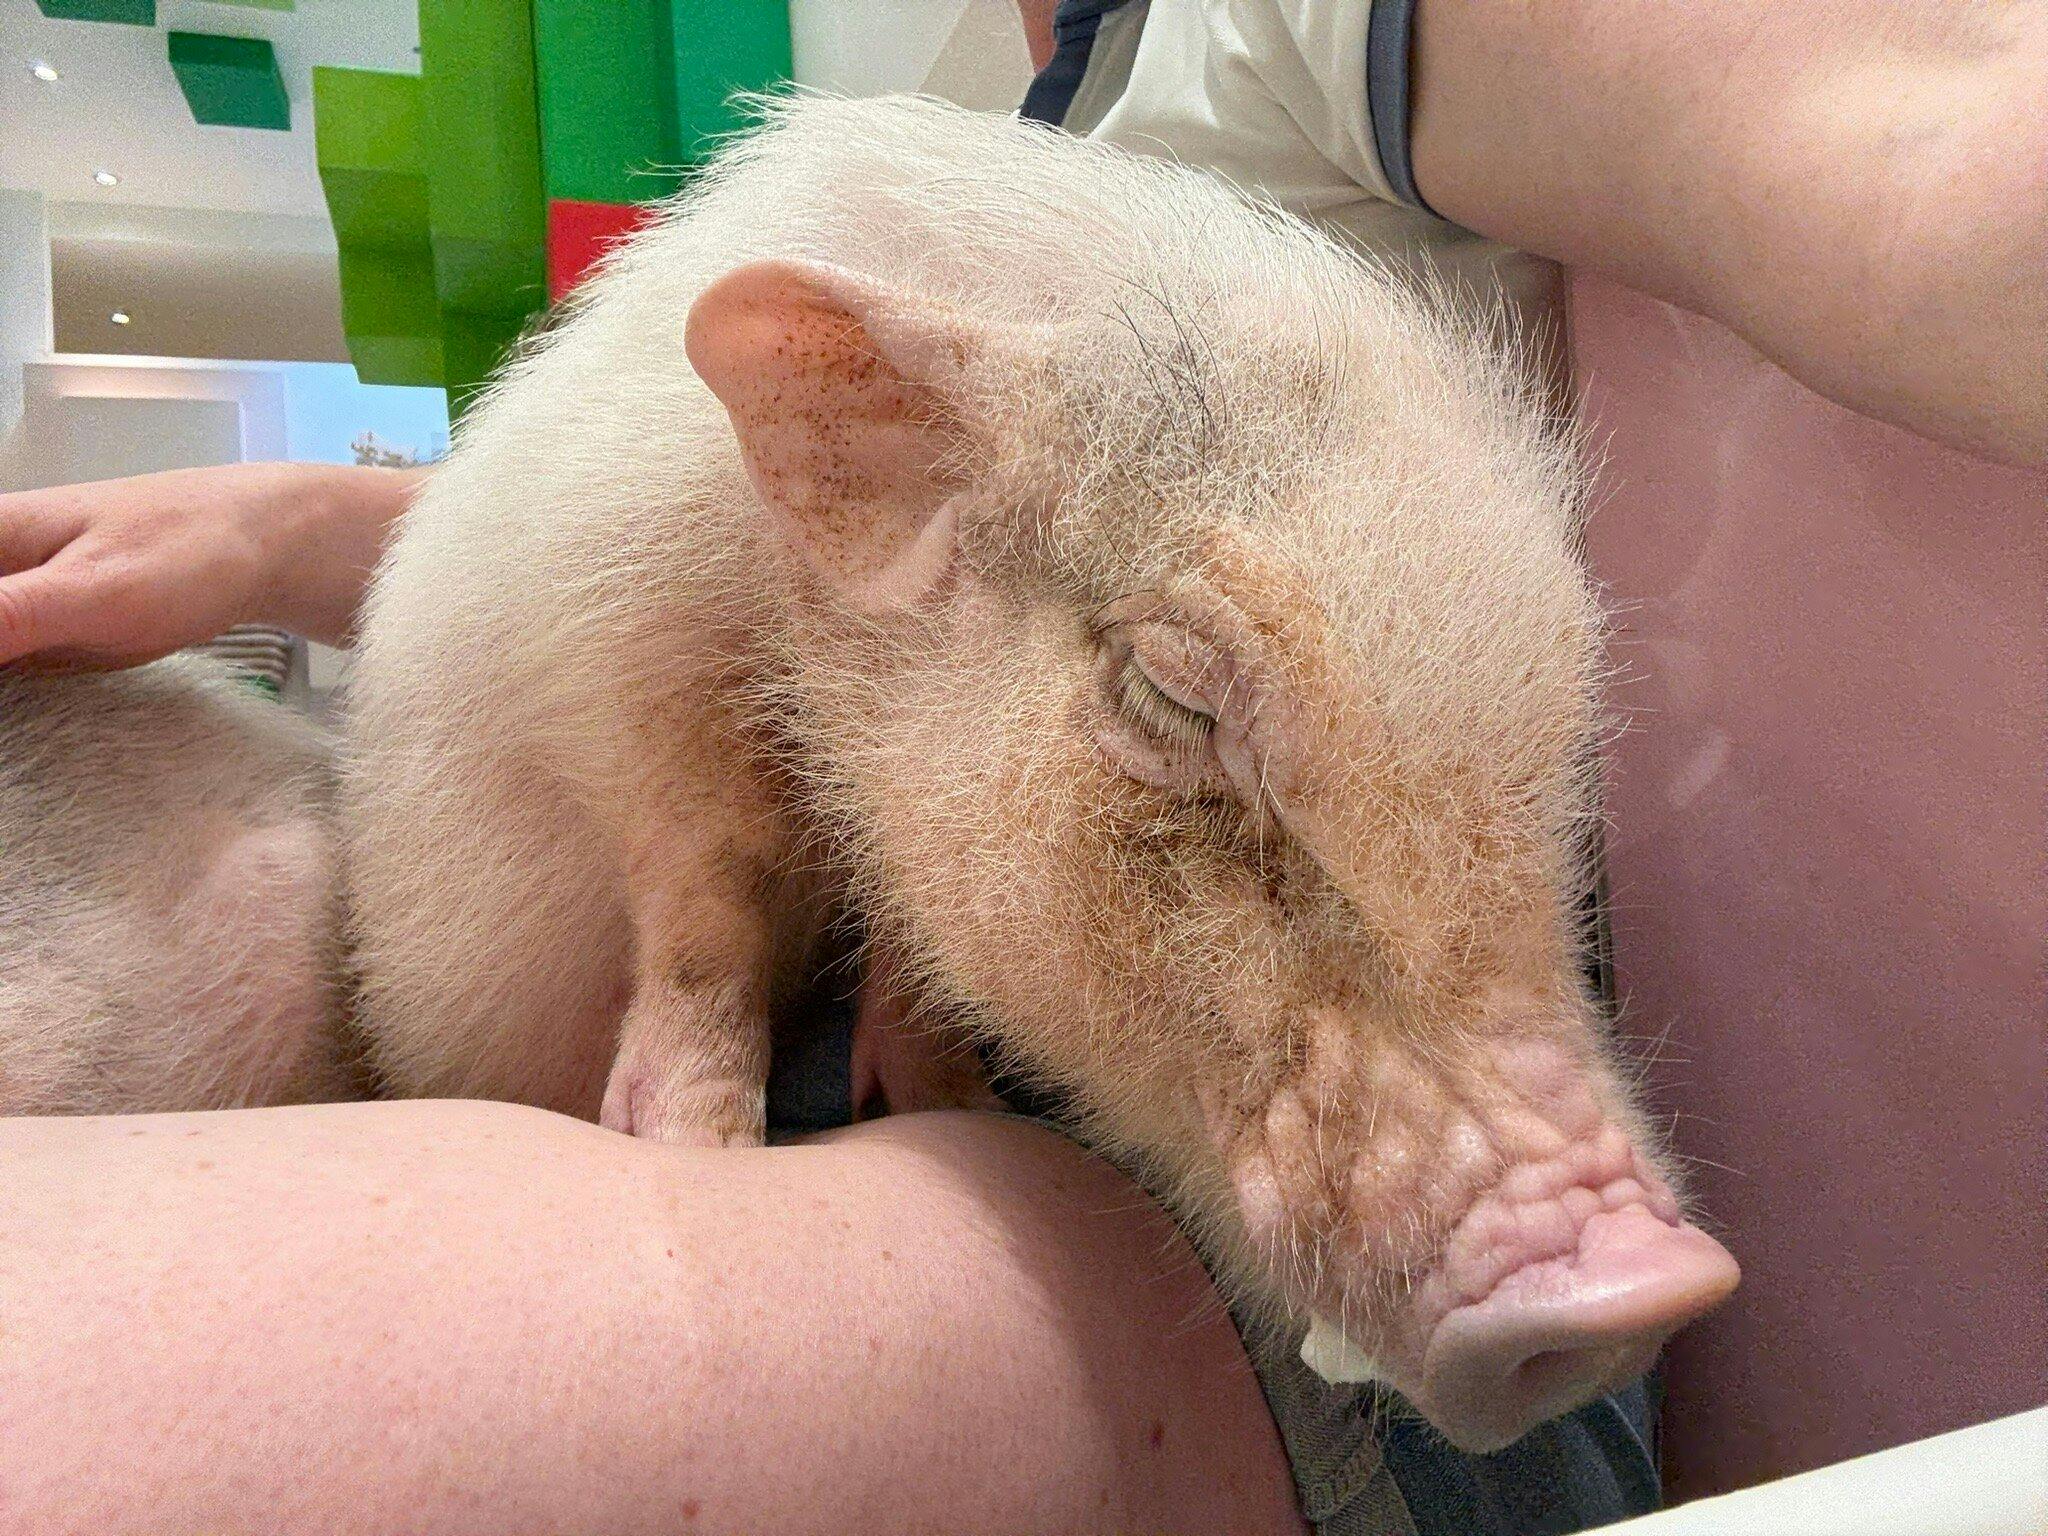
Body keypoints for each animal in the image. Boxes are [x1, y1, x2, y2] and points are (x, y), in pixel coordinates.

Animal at [342, 93, 1738, 1451]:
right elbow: (707, 901)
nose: (1637, 1287)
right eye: (1172, 692)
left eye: (1553, 751)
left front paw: (956, 1106)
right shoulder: (614, 663)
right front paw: (704, 1156)